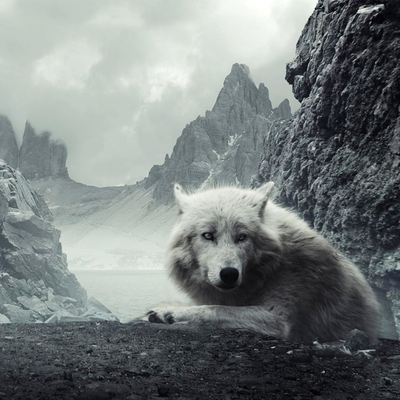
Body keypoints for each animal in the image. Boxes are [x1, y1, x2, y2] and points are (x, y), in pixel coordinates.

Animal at [148, 183, 380, 342]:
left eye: (242, 237)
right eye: (208, 235)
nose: (229, 274)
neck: (270, 269)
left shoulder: (278, 318)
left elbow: (215, 309)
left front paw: (170, 312)